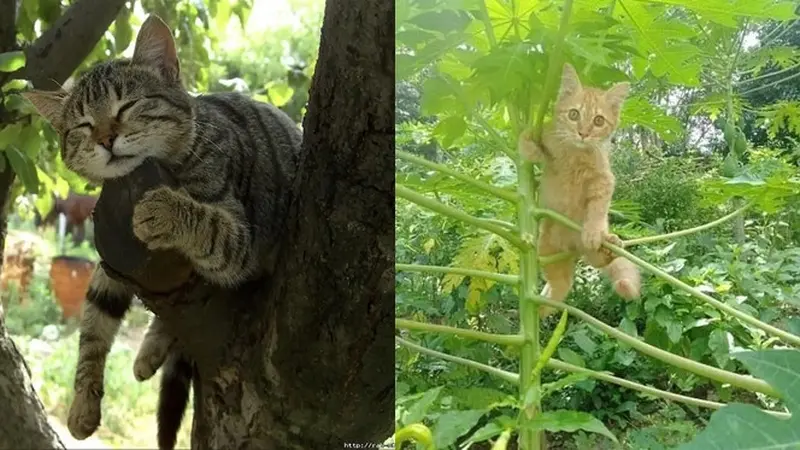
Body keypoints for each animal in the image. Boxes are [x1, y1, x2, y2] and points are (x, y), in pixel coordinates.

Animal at [25, 14, 300, 450]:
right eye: (83, 125)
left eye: (127, 106)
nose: (106, 139)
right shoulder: (110, 263)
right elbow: (93, 325)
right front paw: (83, 401)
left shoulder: (241, 239)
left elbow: (209, 225)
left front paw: (164, 210)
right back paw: (150, 350)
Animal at [520, 63, 644, 316]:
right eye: (573, 114)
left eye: (598, 120)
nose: (583, 133)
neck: (575, 154)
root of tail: (572, 247)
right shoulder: (547, 136)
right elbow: (527, 140)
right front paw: (530, 148)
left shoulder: (604, 178)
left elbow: (598, 207)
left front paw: (593, 231)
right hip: (547, 252)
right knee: (559, 285)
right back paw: (539, 309)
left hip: (583, 250)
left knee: (595, 263)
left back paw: (608, 247)